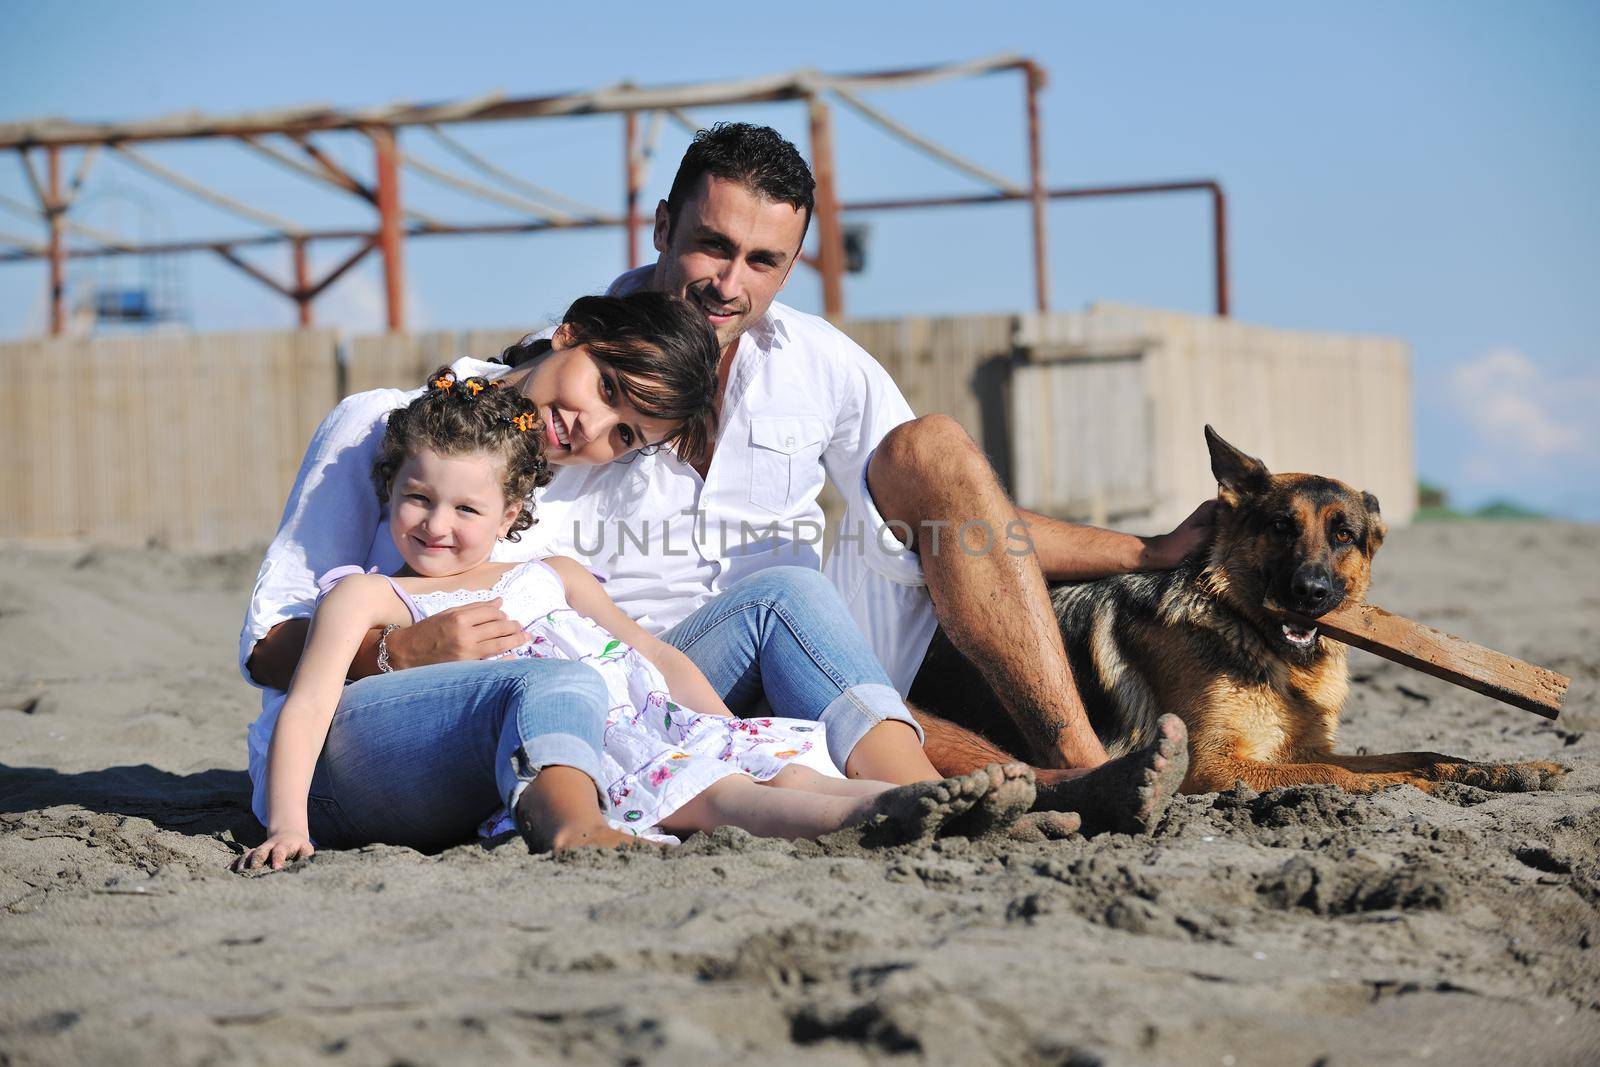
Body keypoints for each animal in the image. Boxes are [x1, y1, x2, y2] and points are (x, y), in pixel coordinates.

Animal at [915, 428, 1561, 796]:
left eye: (1344, 535)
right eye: (1281, 527)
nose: (1311, 592)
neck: (1252, 635)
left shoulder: (1302, 748)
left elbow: (1422, 752)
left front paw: (1507, 769)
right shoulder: (1218, 765)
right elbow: (1354, 775)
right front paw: (1420, 786)